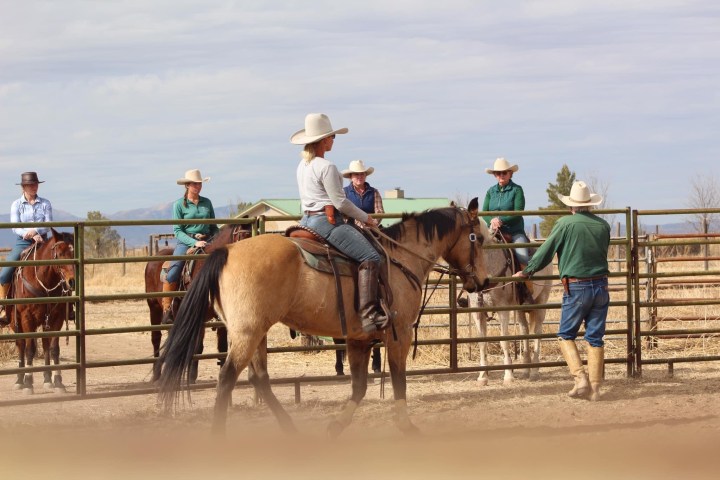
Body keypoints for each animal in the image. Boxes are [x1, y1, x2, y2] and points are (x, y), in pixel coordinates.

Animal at [6, 229, 76, 394]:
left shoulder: (57, 318)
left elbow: (54, 349)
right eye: (60, 253)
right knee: (21, 345)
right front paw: (28, 383)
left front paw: (58, 382)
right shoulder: (27, 318)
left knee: (45, 345)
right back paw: (19, 380)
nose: (71, 281)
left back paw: (47, 380)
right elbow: (30, 349)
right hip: (15, 322)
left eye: (74, 252)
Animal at [143, 221, 250, 382]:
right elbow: (197, 347)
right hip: (154, 307)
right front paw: (191, 378)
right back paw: (156, 375)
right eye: (243, 236)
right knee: (156, 338)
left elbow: (222, 347)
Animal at [160, 201, 492, 436]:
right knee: (228, 378)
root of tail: (226, 252)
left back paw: (291, 429)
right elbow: (398, 381)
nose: (483, 281)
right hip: (247, 333)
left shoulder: (358, 340)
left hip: (254, 333)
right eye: (478, 238)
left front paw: (335, 427)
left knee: (259, 379)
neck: (401, 257)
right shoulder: (400, 335)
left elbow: (359, 387)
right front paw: (406, 426)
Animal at [470, 231, 556, 384]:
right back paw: (526, 369)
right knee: (524, 330)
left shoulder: (503, 309)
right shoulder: (477, 311)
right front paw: (482, 376)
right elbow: (481, 343)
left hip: (542, 301)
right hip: (520, 308)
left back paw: (534, 371)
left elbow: (504, 341)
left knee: (537, 332)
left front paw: (508, 375)